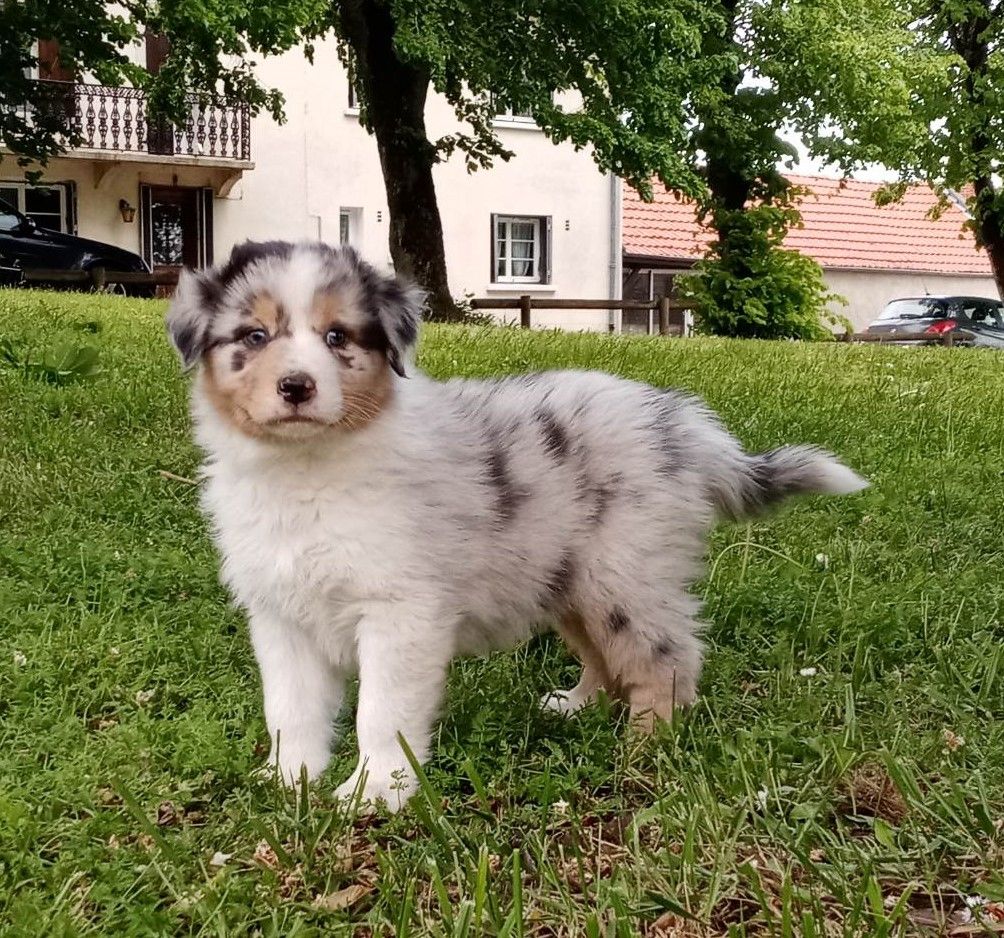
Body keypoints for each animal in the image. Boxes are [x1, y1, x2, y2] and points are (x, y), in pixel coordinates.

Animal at [164, 242, 863, 815]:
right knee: (603, 659)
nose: (297, 387)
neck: (306, 471)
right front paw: (288, 781)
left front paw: (374, 792)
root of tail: (685, 428)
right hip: (568, 580)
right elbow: (290, 709)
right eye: (254, 336)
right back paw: (575, 707)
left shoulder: (401, 612)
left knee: (667, 658)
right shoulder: (280, 617)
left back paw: (644, 747)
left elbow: (381, 712)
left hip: (625, 575)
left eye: (338, 336)